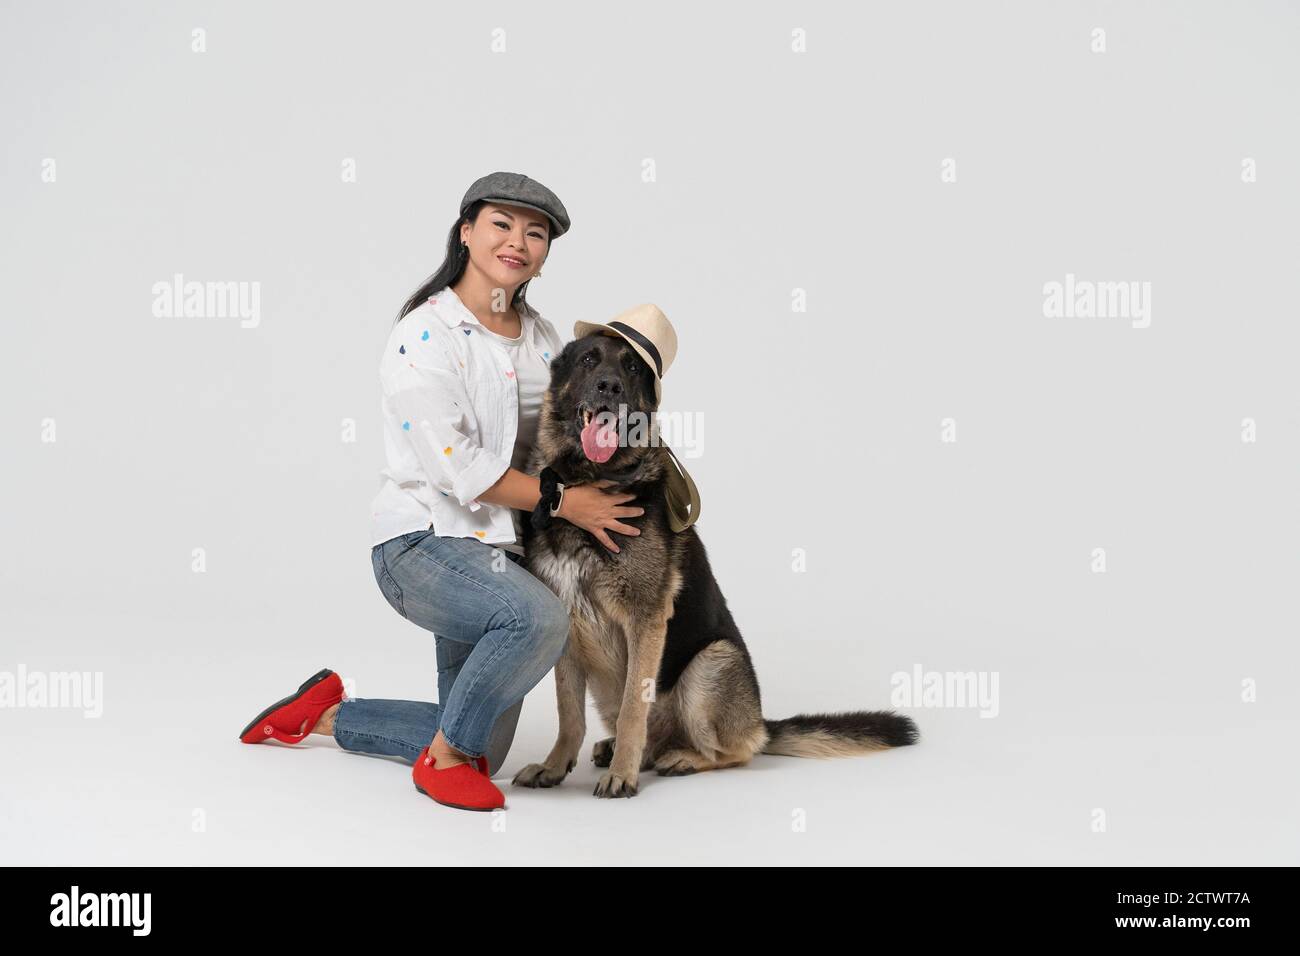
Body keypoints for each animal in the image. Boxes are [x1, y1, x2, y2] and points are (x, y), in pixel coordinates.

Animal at [506, 332, 915, 796]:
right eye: (589, 360)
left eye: (632, 367)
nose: (609, 386)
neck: (591, 480)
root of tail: (761, 723)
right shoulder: (569, 628)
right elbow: (568, 712)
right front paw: (554, 766)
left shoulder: (645, 621)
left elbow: (633, 709)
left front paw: (622, 775)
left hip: (711, 663)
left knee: (734, 752)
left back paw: (678, 758)